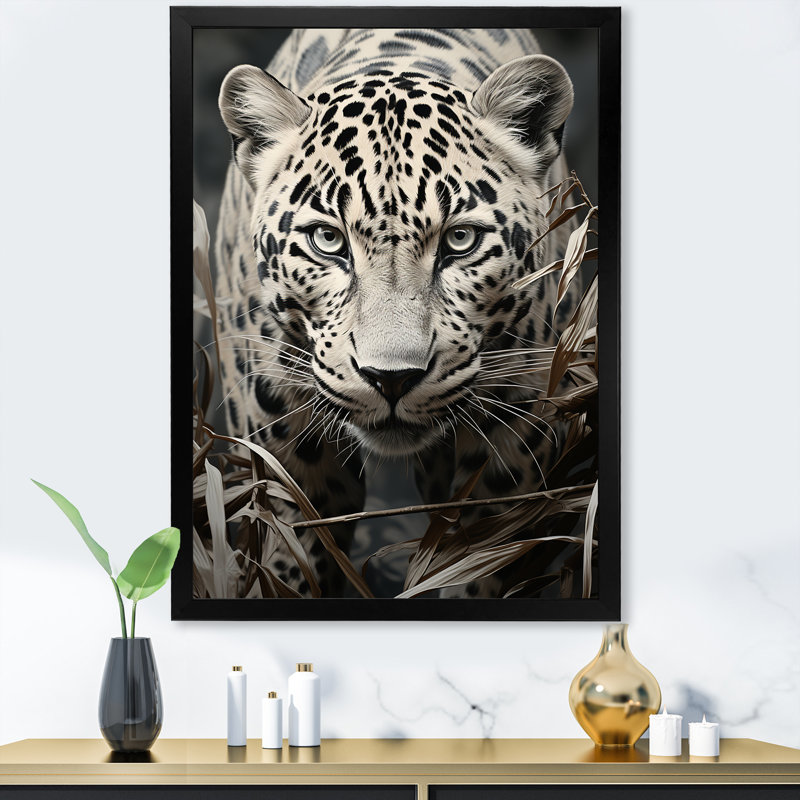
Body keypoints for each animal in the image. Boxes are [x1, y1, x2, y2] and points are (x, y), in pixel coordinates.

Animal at [212, 28, 580, 598]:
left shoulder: (515, 439)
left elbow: (474, 562)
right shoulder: (284, 450)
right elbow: (295, 559)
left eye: (460, 240)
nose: (391, 379)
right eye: (327, 240)